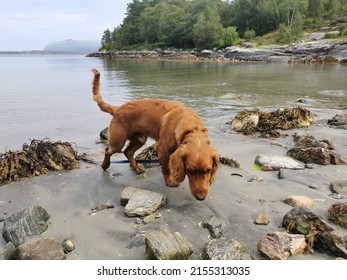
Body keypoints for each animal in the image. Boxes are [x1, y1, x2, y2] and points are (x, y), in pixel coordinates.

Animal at [91, 69, 219, 200]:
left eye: (208, 170)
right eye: (190, 170)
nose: (201, 197)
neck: (190, 127)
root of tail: (117, 108)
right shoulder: (162, 149)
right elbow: (166, 168)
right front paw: (170, 181)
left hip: (140, 139)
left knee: (128, 152)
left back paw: (136, 167)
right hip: (118, 142)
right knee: (108, 150)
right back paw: (105, 165)